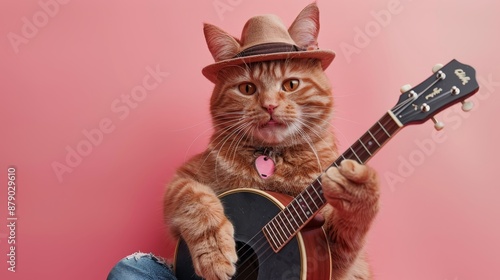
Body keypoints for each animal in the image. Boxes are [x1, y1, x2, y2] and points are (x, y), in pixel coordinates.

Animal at [164, 2, 378, 280]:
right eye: (247, 89)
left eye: (291, 84)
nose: (269, 106)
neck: (273, 158)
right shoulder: (183, 179)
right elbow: (195, 199)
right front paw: (214, 254)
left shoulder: (334, 257)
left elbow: (348, 232)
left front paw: (360, 188)